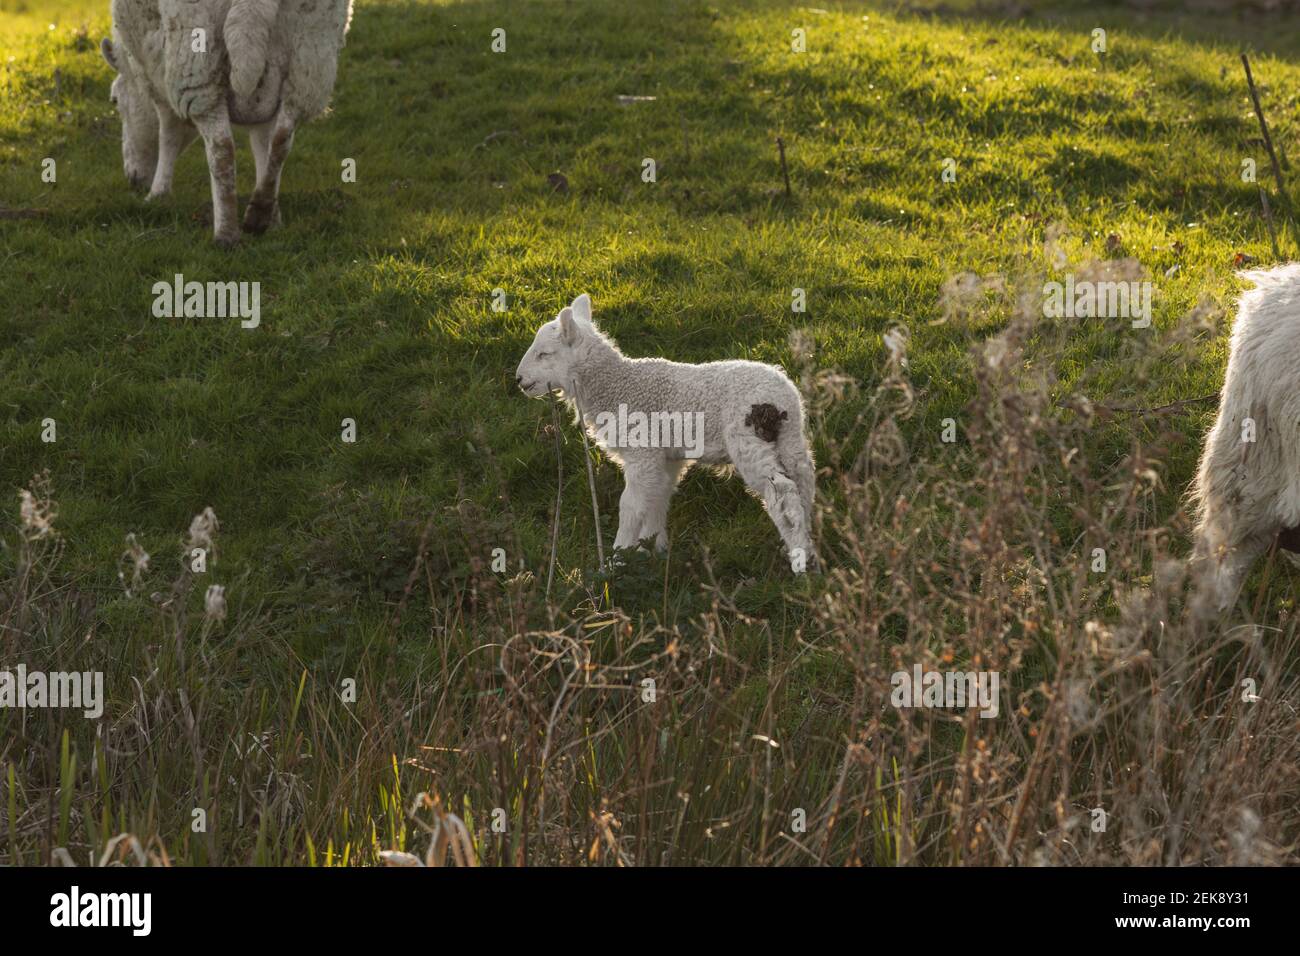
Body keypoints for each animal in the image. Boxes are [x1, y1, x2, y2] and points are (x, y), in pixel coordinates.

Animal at [101, 0, 353, 247]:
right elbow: (262, 146)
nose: (133, 179)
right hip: (309, 59)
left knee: (222, 149)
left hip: (196, 60)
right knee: (282, 140)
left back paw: (226, 234)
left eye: (115, 100)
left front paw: (157, 195)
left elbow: (168, 134)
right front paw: (274, 219)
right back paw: (259, 213)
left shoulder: (156, 75)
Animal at [514, 295, 811, 572]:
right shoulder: (665, 457)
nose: (518, 380)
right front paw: (652, 548)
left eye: (544, 354)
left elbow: (630, 506)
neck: (616, 386)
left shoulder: (642, 452)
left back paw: (800, 562)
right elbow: (658, 496)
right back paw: (805, 545)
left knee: (782, 491)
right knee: (803, 483)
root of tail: (782, 397)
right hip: (790, 438)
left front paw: (616, 560)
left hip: (748, 439)